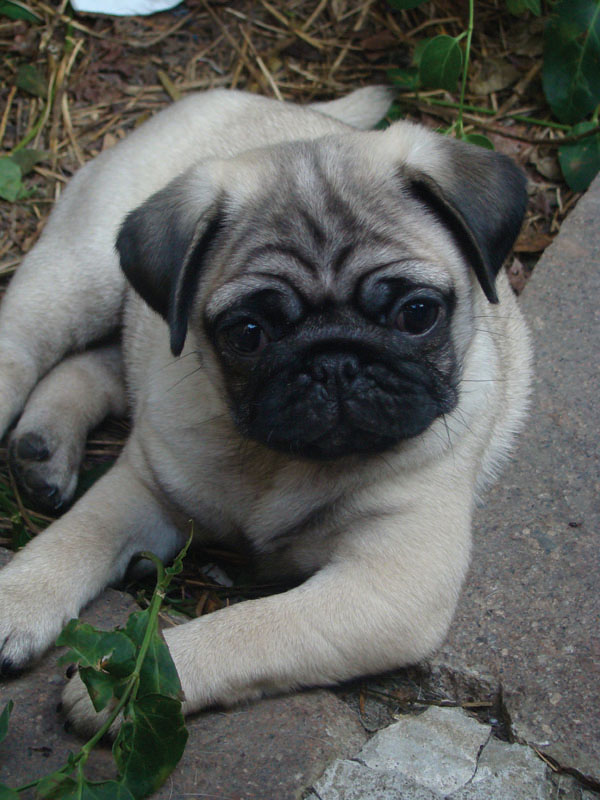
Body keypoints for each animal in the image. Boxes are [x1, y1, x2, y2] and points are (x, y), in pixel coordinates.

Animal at [0, 86, 528, 732]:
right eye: (247, 334)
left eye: (418, 314)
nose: (333, 360)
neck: (277, 462)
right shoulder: (147, 489)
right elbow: (78, 536)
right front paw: (19, 599)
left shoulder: (389, 583)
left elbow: (251, 626)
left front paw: (134, 684)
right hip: (83, 272)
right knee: (22, 351)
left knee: (93, 365)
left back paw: (43, 448)